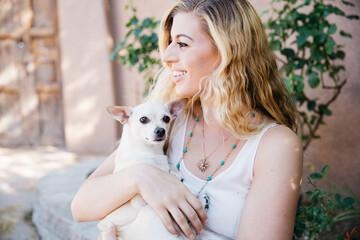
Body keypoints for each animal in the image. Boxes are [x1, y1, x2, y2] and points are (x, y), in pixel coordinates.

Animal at [97, 98, 188, 239]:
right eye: (143, 119)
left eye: (166, 118)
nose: (161, 130)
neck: (149, 151)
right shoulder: (140, 199)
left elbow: (168, 165)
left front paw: (174, 171)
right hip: (150, 212)